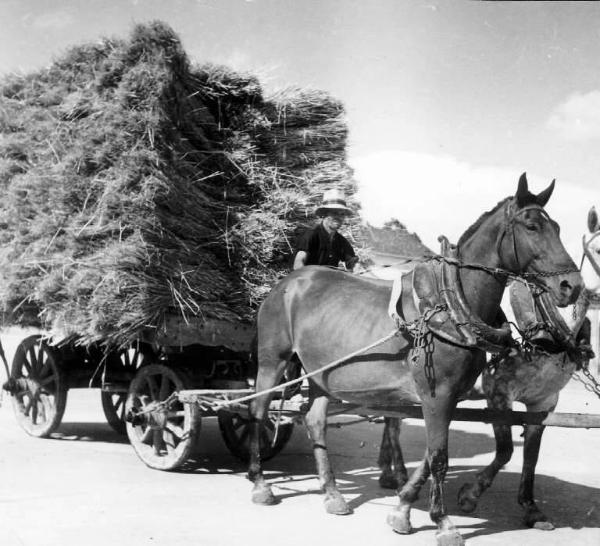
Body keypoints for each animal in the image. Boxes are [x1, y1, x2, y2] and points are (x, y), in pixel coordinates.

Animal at [245, 175, 580, 544]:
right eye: (532, 226)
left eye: (558, 227)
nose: (572, 286)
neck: (453, 304)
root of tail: (288, 283)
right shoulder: (439, 394)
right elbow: (439, 457)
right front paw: (442, 521)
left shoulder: (448, 397)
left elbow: (433, 455)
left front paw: (403, 508)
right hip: (272, 361)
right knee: (258, 411)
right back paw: (260, 482)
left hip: (322, 372)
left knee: (315, 420)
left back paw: (332, 493)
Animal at [454, 204, 600, 528]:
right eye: (597, 247)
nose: (573, 287)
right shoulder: (498, 392)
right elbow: (506, 450)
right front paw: (469, 495)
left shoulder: (544, 402)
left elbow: (531, 455)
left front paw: (530, 508)